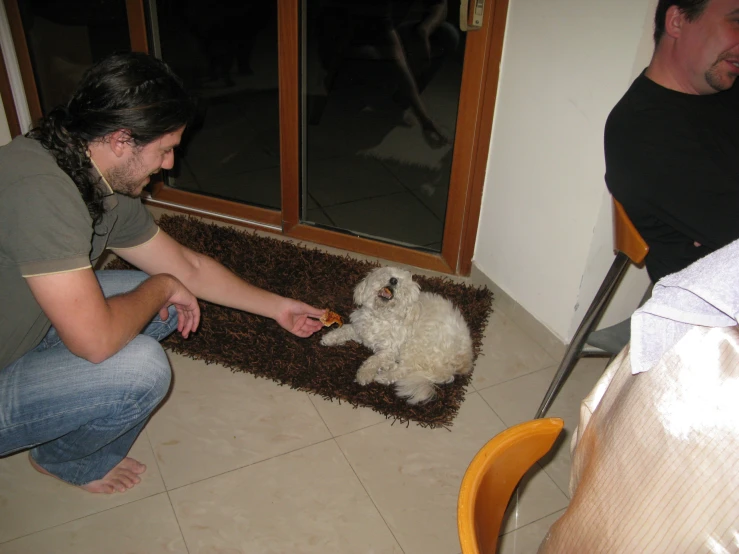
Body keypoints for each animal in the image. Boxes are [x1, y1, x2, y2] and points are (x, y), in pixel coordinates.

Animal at [322, 264, 474, 402]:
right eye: (388, 273)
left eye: (404, 286)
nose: (394, 280)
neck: (380, 316)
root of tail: (463, 357)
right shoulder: (360, 330)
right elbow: (345, 329)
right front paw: (329, 337)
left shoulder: (389, 350)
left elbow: (373, 360)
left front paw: (364, 374)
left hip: (416, 344)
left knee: (405, 369)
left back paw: (384, 376)